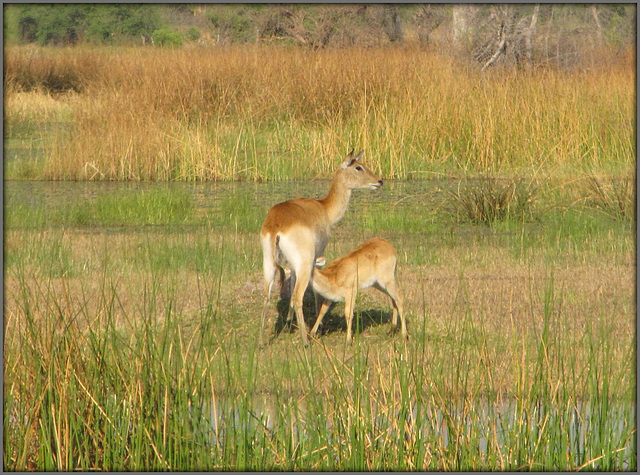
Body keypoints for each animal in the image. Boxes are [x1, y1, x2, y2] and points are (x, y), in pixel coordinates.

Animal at [258, 151, 380, 348]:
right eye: (358, 167)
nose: (379, 181)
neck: (324, 208)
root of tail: (276, 225)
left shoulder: (293, 264)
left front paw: (289, 321)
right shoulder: (318, 254)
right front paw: (319, 326)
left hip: (269, 263)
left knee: (267, 296)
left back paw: (262, 341)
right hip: (305, 262)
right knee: (298, 296)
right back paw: (306, 341)